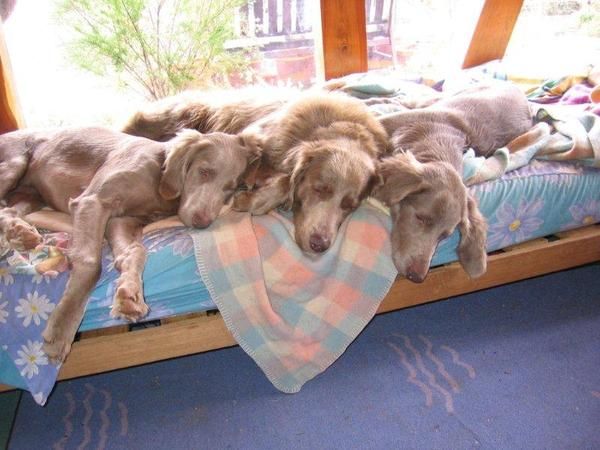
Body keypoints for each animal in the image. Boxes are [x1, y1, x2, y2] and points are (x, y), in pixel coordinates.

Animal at [0, 127, 260, 362]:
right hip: (15, 164)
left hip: (31, 193)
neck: (159, 181)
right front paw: (61, 329)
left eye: (230, 189)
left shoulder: (122, 221)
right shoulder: (92, 201)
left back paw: (20, 232)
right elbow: (91, 263)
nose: (203, 223)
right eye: (204, 172)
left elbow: (136, 251)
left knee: (8, 209)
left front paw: (129, 296)